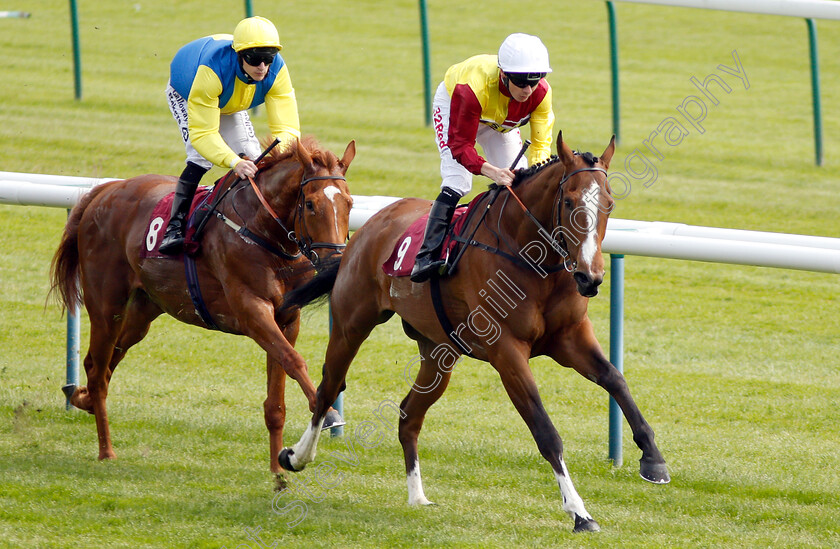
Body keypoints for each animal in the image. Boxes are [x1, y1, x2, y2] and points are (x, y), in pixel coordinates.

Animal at [48, 135, 358, 474]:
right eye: (311, 204)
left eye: (350, 203)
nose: (333, 261)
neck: (262, 230)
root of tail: (104, 191)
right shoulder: (252, 310)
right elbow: (294, 361)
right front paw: (326, 414)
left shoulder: (287, 318)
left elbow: (276, 400)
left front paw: (278, 469)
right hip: (106, 305)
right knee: (98, 370)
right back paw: (106, 449)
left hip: (145, 308)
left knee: (105, 363)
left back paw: (81, 397)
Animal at [276, 133, 668, 532]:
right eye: (570, 201)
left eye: (609, 202)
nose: (590, 277)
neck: (532, 258)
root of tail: (369, 226)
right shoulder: (506, 350)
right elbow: (545, 431)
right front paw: (579, 511)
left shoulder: (570, 337)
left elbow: (615, 379)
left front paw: (653, 459)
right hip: (351, 324)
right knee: (328, 387)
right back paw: (296, 455)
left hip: (438, 353)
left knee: (408, 415)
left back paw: (417, 496)